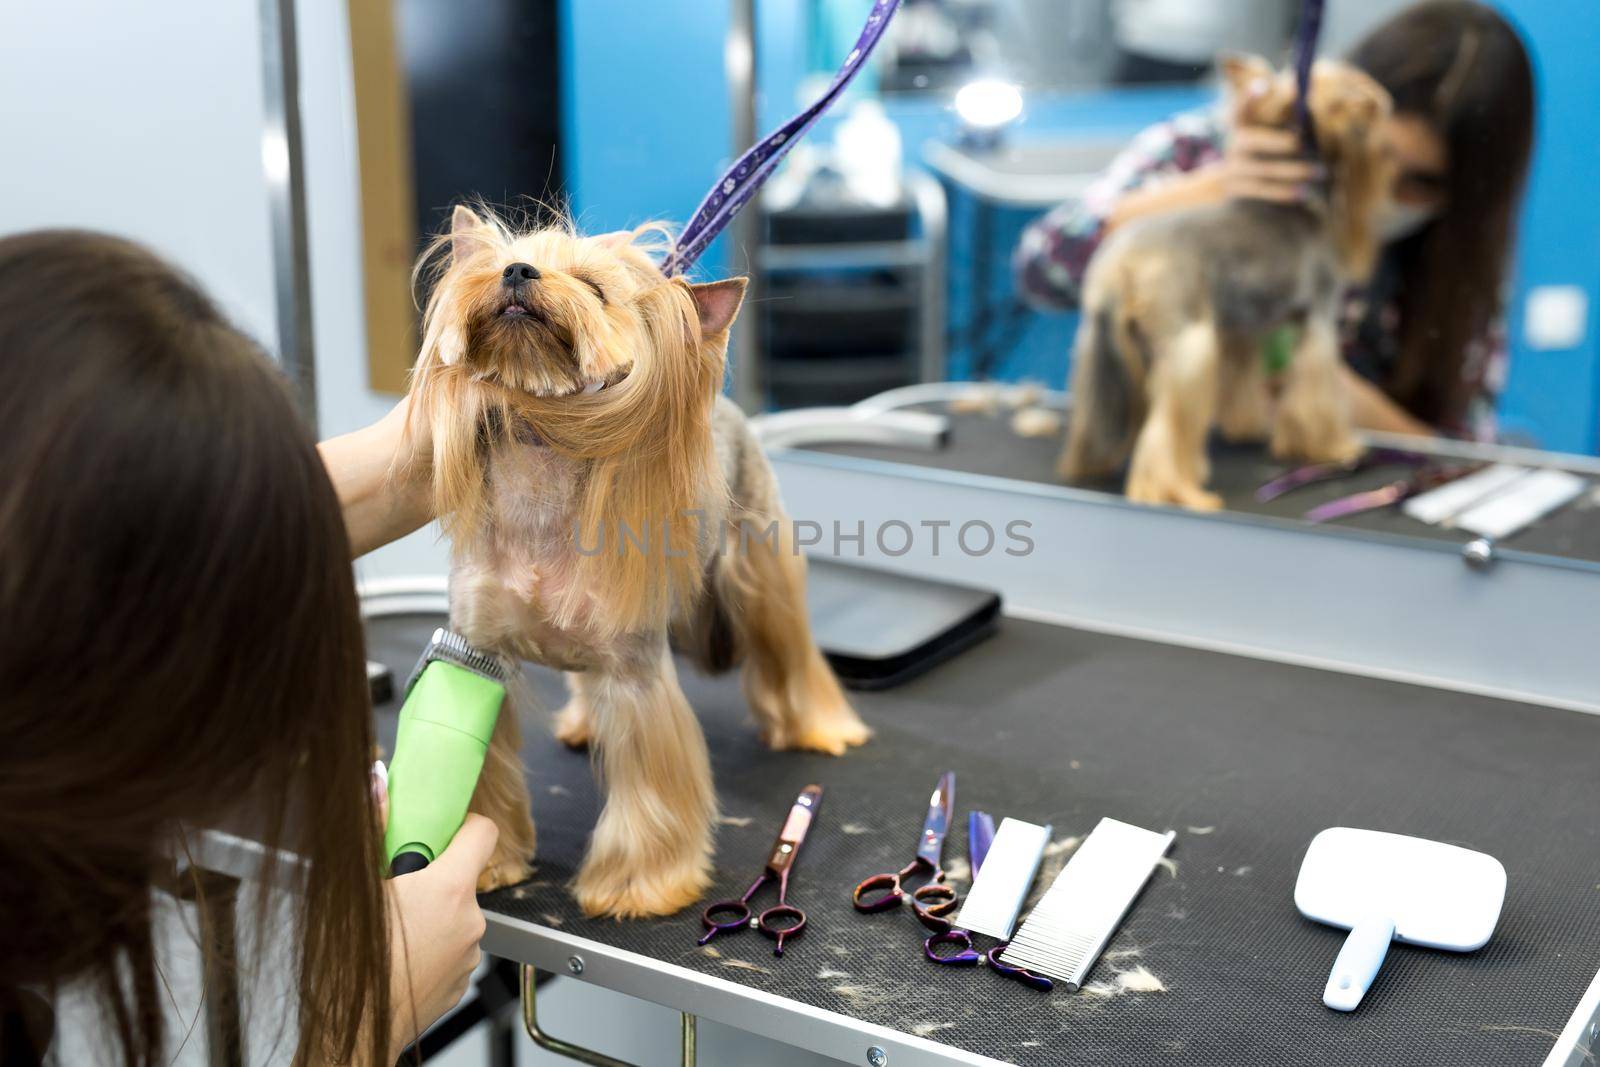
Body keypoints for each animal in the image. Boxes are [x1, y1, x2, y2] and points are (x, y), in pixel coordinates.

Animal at [406, 207, 870, 921]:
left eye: (594, 288)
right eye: (505, 260)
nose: (517, 271)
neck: (542, 474)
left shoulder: (634, 671)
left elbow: (650, 786)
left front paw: (638, 886)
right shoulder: (476, 649)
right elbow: (479, 765)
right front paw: (489, 860)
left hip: (760, 566)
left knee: (788, 649)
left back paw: (819, 729)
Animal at [1062, 56, 1388, 511]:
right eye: (1339, 94)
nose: (1375, 103)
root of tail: (1120, 265)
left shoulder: (1238, 325)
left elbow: (1242, 379)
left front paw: (1245, 425)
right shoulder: (1319, 319)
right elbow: (1316, 394)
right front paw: (1333, 448)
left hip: (1099, 343)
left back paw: (1091, 463)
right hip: (1187, 342)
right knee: (1165, 431)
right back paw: (1177, 491)